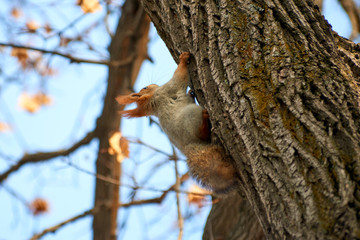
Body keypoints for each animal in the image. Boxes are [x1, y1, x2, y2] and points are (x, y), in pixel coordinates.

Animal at [116, 52, 238, 193]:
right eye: (145, 87)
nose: (152, 83)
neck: (153, 101)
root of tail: (189, 146)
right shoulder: (168, 88)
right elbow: (180, 75)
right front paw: (184, 58)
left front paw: (191, 92)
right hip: (191, 114)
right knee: (203, 133)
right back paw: (205, 119)